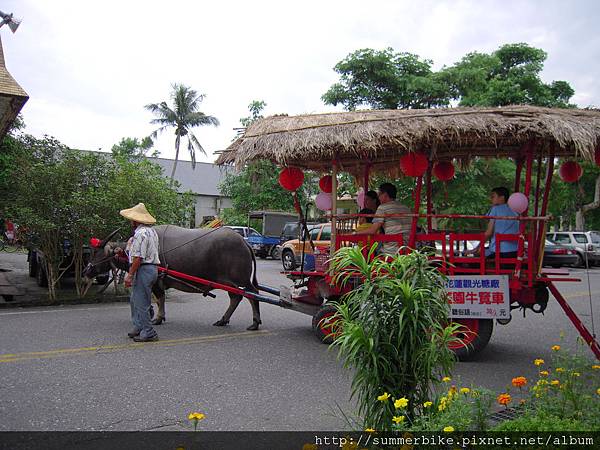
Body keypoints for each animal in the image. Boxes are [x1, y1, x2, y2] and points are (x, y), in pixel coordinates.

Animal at [83, 225, 262, 330]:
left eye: (96, 252)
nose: (86, 271)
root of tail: (245, 242)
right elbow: (157, 300)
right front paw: (158, 316)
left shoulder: (156, 281)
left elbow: (160, 298)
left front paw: (157, 318)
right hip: (230, 283)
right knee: (236, 298)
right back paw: (223, 320)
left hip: (241, 280)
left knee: (253, 295)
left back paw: (255, 322)